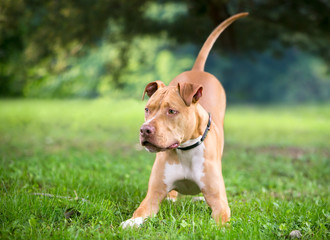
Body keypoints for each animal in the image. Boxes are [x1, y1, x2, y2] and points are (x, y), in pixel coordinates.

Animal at [120, 12, 248, 228]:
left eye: (172, 111)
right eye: (147, 109)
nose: (145, 130)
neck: (185, 149)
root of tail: (198, 70)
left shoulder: (219, 201)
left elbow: (219, 220)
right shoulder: (152, 196)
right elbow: (141, 212)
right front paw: (130, 222)